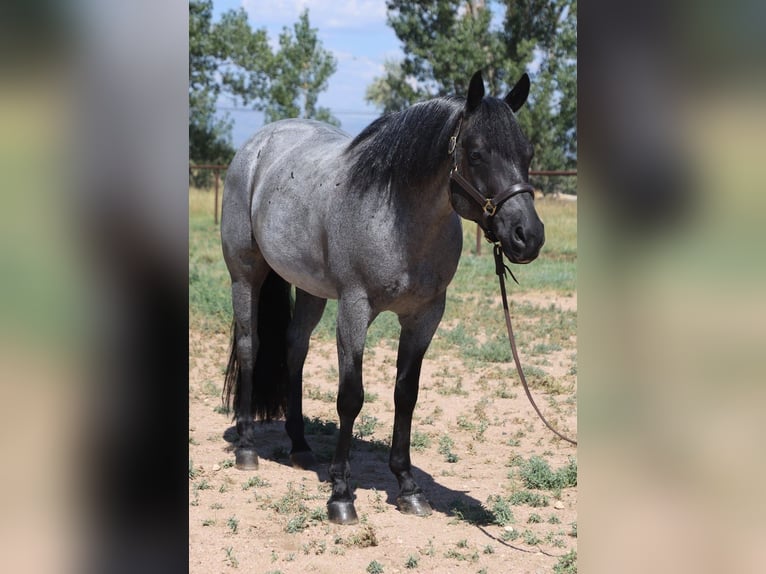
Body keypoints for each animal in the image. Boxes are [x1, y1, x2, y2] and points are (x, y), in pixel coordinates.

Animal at [220, 70, 545, 525]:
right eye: (477, 153)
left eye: (527, 152)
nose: (527, 237)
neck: (398, 219)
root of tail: (259, 145)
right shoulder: (355, 309)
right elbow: (350, 397)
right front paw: (341, 495)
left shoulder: (425, 317)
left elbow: (405, 395)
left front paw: (408, 488)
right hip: (245, 275)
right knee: (251, 346)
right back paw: (247, 446)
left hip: (310, 290)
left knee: (294, 349)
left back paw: (300, 448)